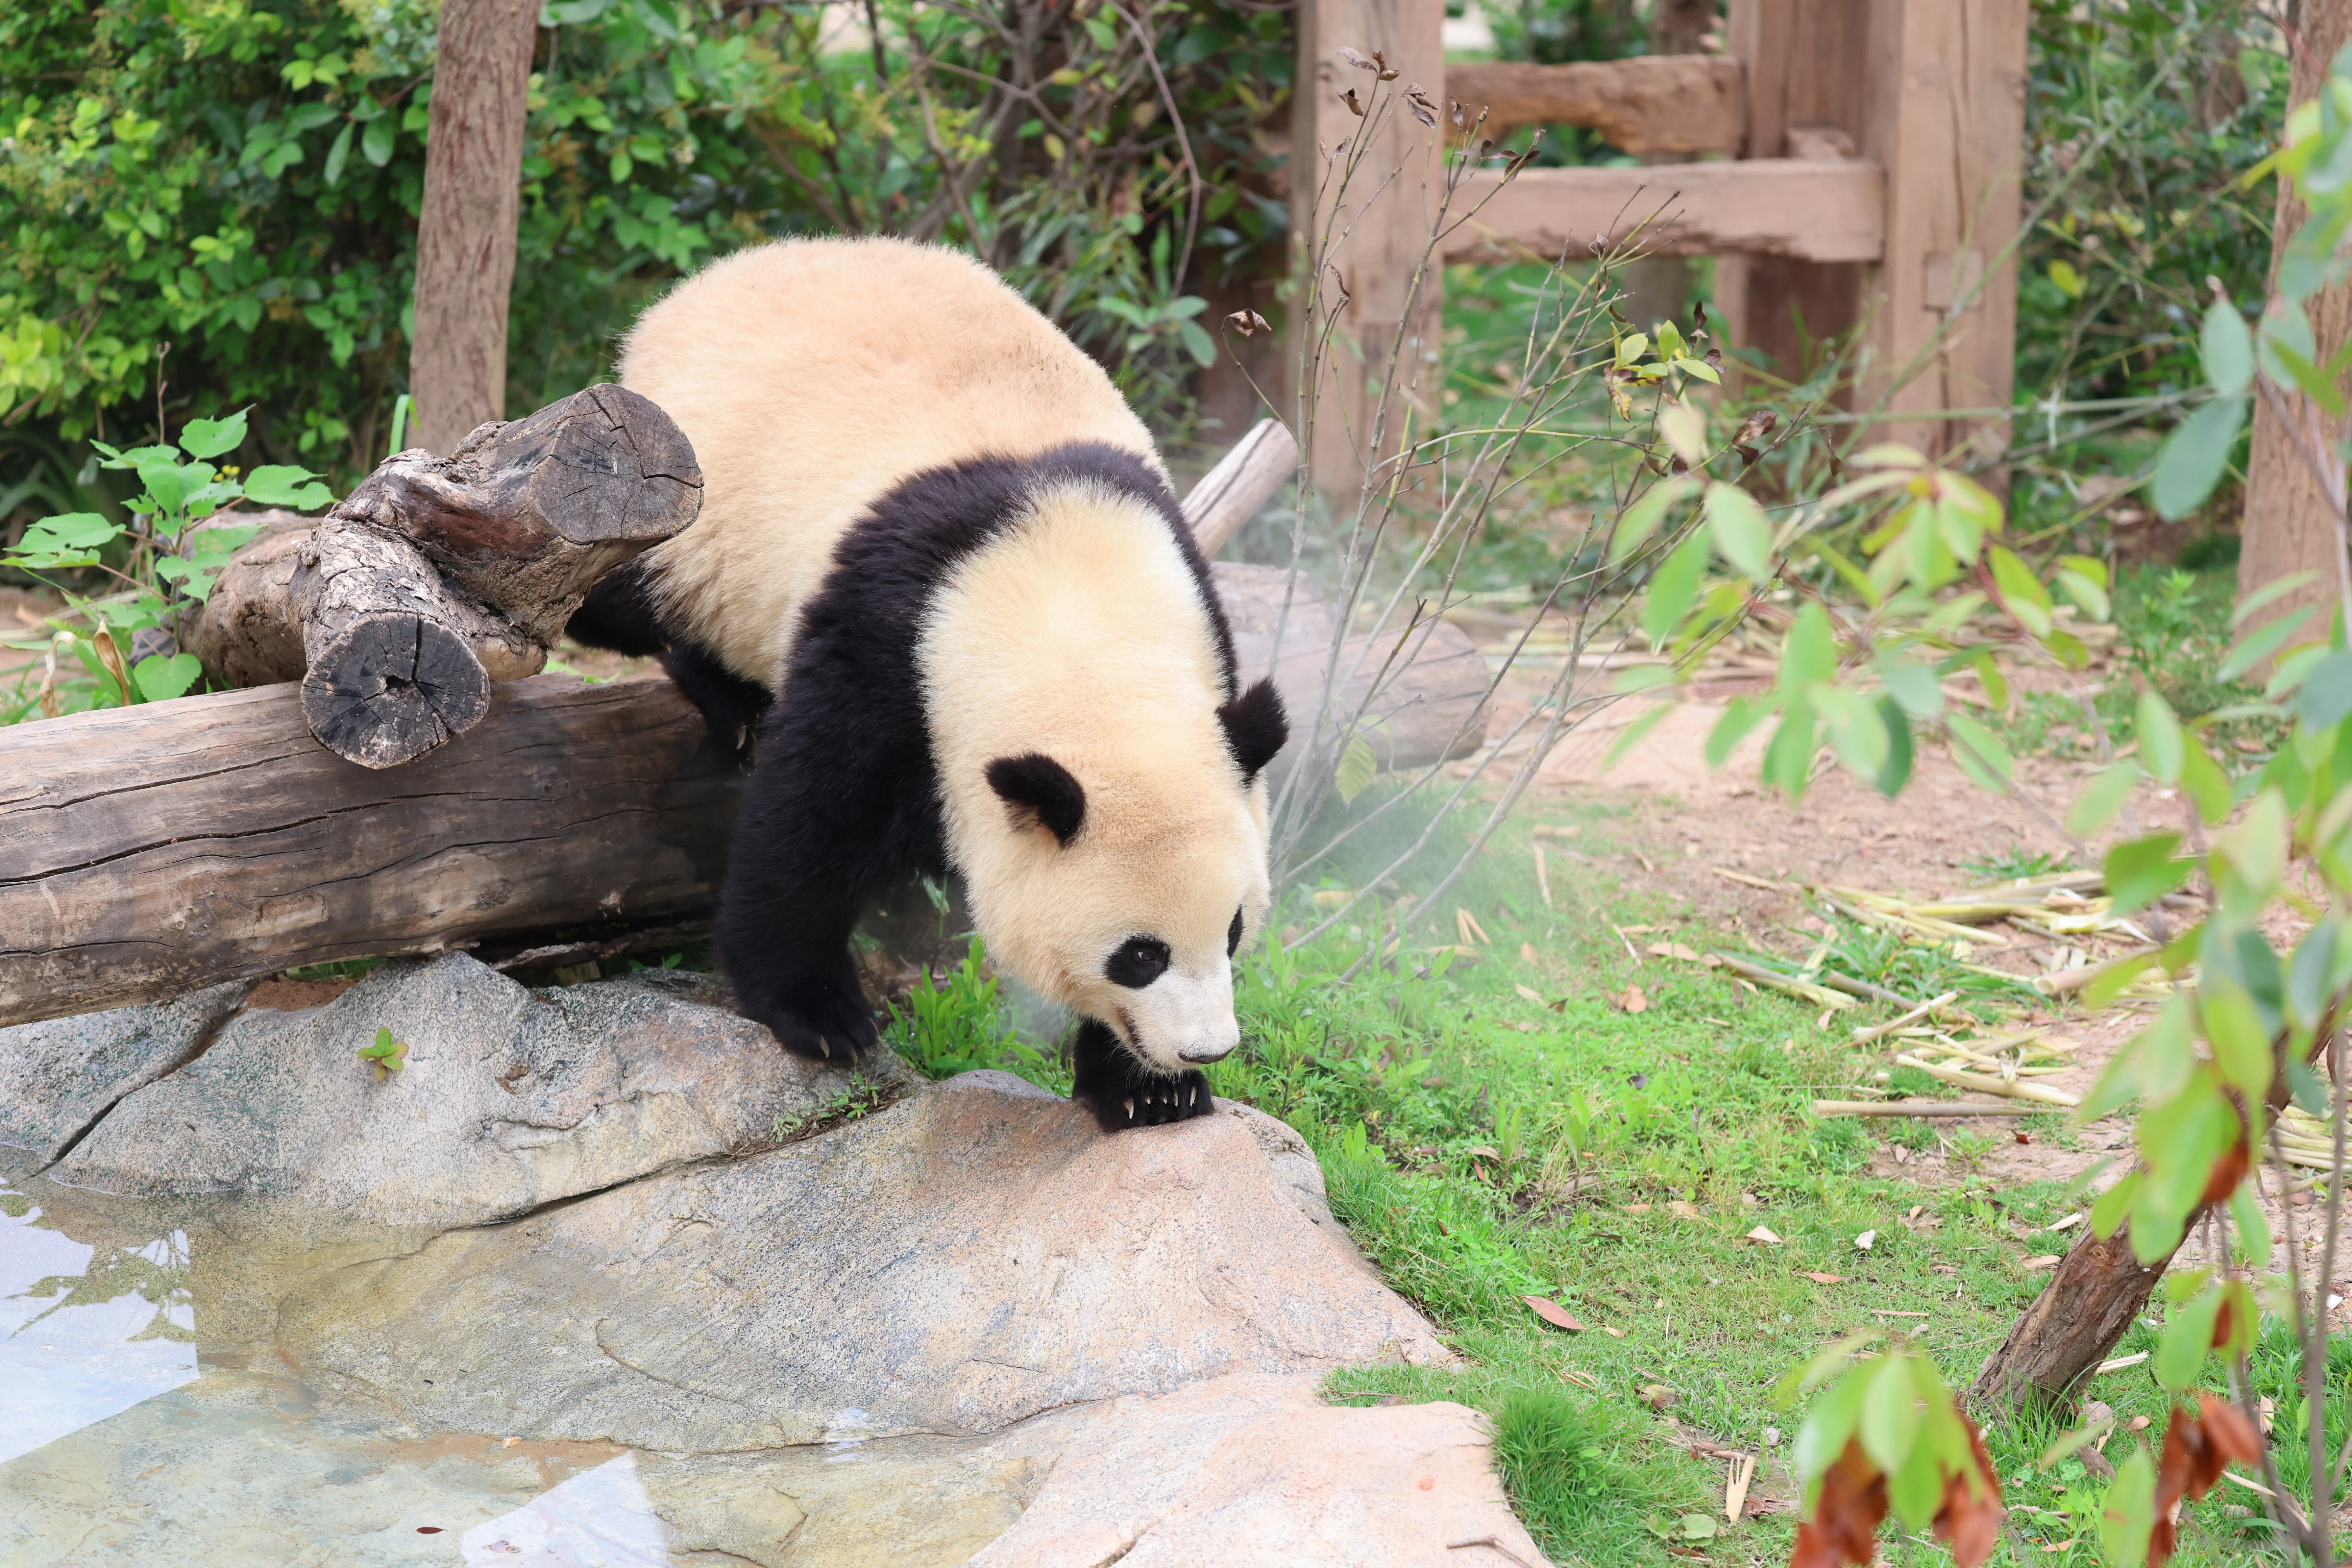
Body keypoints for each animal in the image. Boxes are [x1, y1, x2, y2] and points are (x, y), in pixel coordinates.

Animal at [567, 237, 1289, 1132]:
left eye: (1232, 931)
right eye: (1140, 955)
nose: (1205, 1049)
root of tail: (732, 267)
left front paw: (1147, 1090)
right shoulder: (890, 641)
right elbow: (809, 819)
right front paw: (818, 1013)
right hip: (682, 490)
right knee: (627, 594)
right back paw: (727, 700)